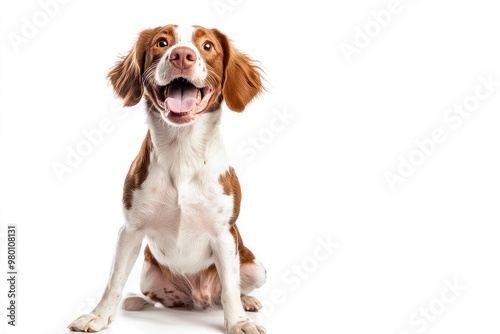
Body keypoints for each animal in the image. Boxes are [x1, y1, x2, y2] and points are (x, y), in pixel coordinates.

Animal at [69, 24, 270, 332]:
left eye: (207, 46)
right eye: (162, 43)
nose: (182, 55)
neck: (182, 150)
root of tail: (199, 298)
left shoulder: (224, 234)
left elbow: (230, 288)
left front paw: (238, 322)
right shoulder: (130, 230)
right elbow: (114, 281)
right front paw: (98, 316)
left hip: (256, 267)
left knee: (229, 290)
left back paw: (247, 301)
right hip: (148, 275)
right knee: (157, 298)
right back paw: (137, 301)